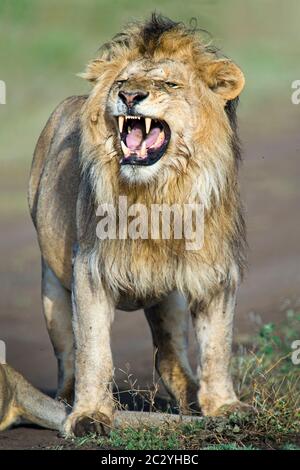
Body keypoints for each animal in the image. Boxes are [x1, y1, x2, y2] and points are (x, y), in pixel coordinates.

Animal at [2, 12, 250, 436]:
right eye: (122, 82)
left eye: (169, 84)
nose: (131, 96)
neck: (155, 196)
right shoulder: (88, 269)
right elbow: (93, 350)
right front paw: (89, 416)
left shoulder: (216, 272)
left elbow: (217, 346)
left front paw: (224, 407)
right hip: (52, 284)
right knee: (68, 354)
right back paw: (65, 401)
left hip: (168, 300)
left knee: (170, 356)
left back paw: (191, 401)